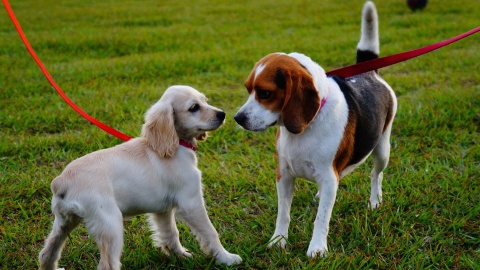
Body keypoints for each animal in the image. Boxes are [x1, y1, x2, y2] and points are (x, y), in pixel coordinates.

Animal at [38, 85, 242, 268]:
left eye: (205, 101)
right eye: (194, 107)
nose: (222, 114)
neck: (176, 145)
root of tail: (61, 181)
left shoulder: (163, 210)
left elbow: (170, 233)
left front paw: (179, 255)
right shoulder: (191, 202)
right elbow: (210, 232)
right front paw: (226, 258)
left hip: (64, 222)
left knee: (47, 253)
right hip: (110, 224)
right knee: (107, 264)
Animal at [234, 2, 396, 258]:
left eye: (265, 93)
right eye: (248, 89)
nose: (238, 118)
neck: (305, 128)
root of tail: (368, 73)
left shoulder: (329, 178)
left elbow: (322, 217)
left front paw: (317, 248)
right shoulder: (284, 175)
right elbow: (283, 213)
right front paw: (278, 240)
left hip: (382, 150)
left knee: (375, 174)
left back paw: (375, 201)